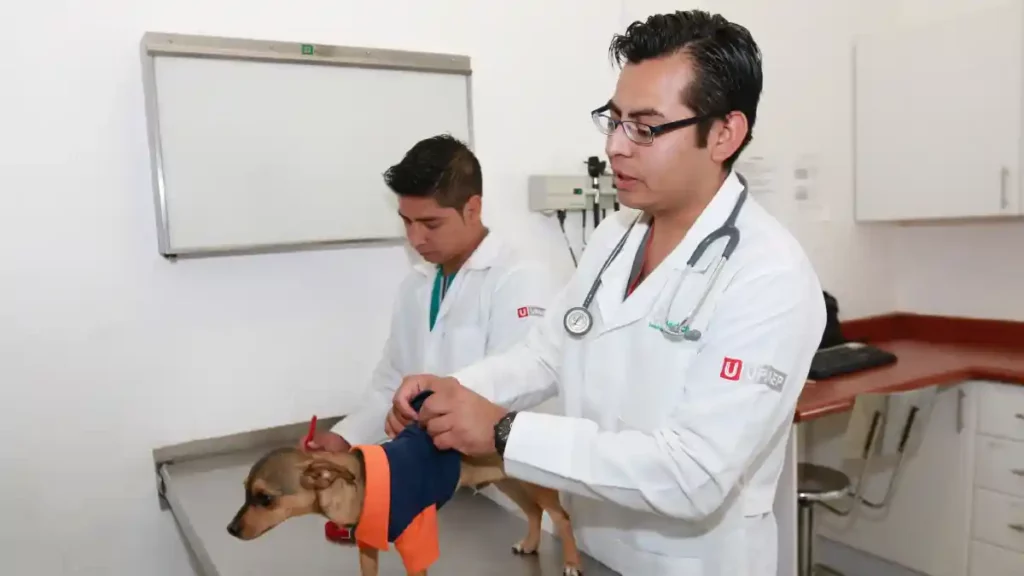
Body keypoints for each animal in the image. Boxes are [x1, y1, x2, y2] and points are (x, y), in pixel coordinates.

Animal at [229, 436, 585, 569]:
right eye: (245, 491)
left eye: (265, 499)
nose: (230, 529)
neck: (358, 486)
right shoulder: (367, 550)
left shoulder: (416, 549)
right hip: (507, 481)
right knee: (533, 511)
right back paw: (530, 543)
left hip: (535, 483)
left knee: (561, 516)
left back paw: (571, 563)